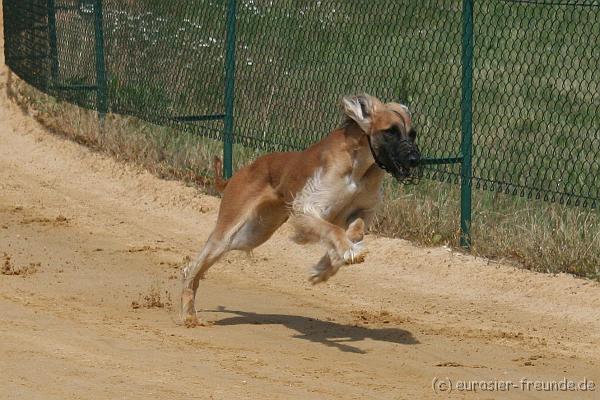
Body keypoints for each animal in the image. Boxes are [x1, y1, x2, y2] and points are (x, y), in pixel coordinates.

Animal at [180, 94, 420, 324]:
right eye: (390, 131)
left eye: (413, 134)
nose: (414, 159)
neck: (358, 165)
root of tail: (239, 172)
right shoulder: (308, 207)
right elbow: (334, 231)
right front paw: (347, 253)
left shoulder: (362, 209)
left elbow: (355, 231)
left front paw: (325, 268)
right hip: (230, 225)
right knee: (195, 265)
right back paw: (188, 314)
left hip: (253, 234)